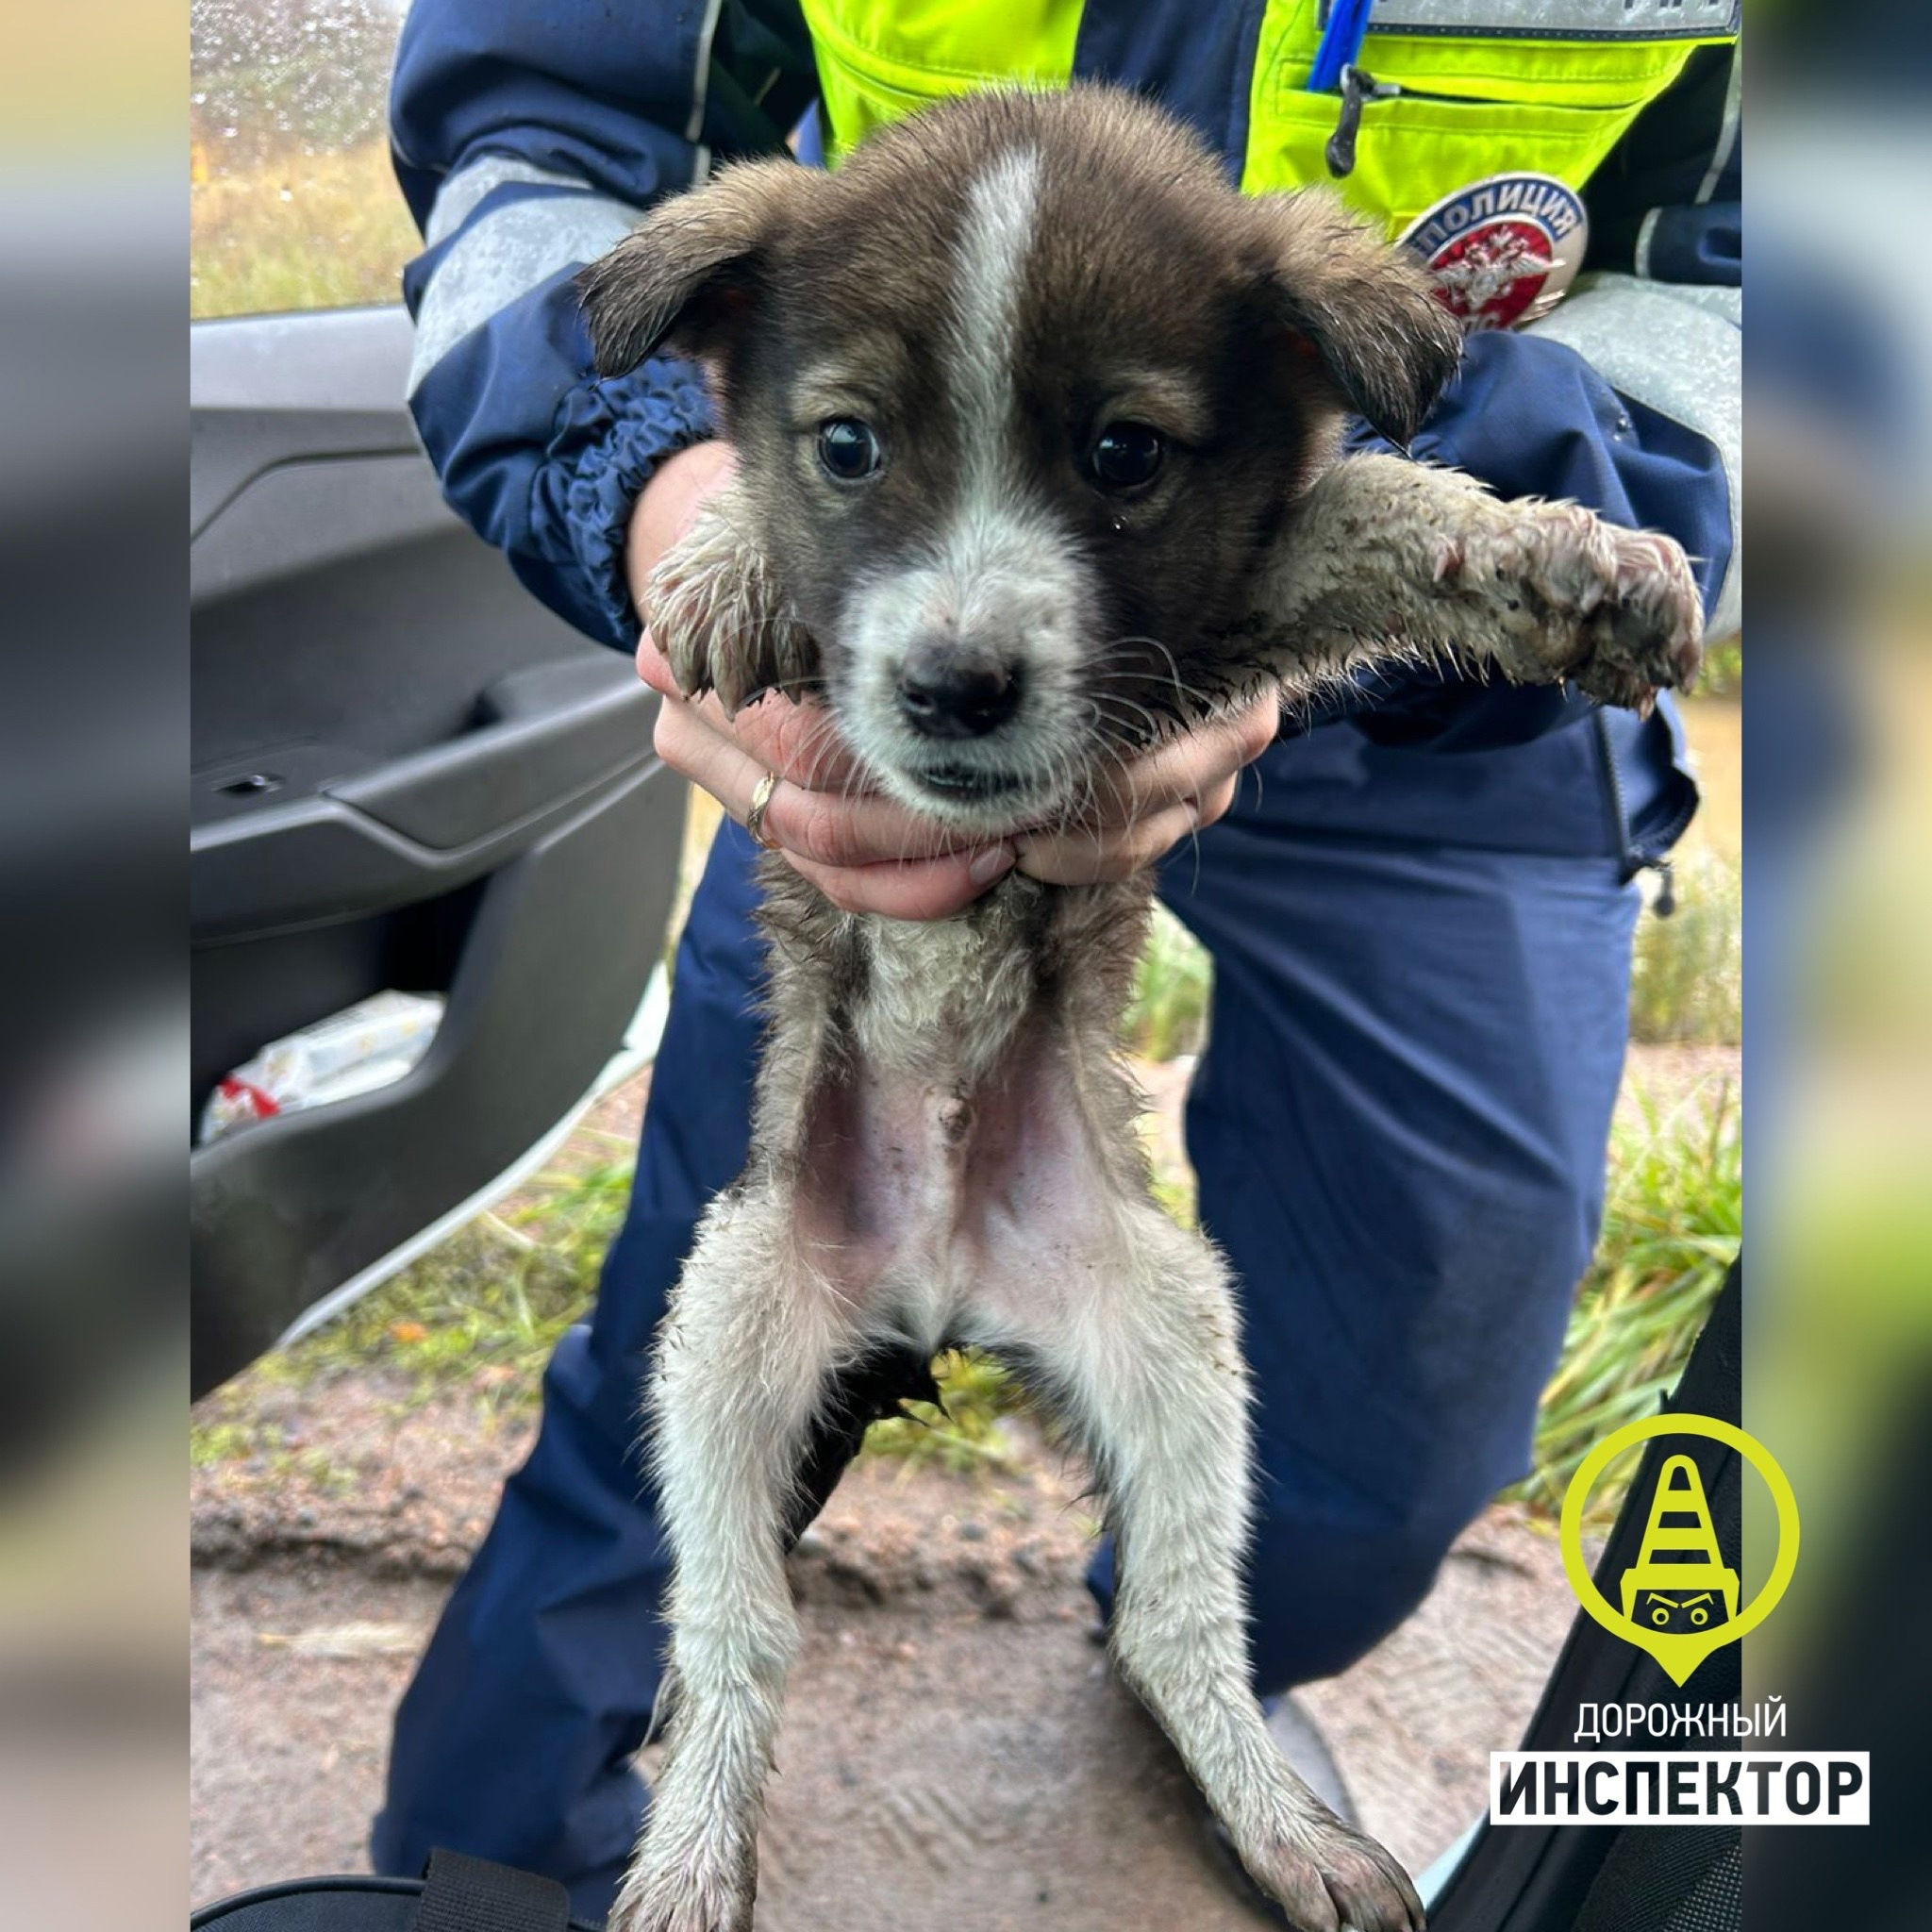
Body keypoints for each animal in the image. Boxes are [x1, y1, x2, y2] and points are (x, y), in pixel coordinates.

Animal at [579, 83, 1700, 1932]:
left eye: (1122, 457)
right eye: (844, 446)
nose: (953, 686)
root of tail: (943, 1287)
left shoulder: (1216, 618)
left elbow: (1374, 492)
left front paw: (1561, 552)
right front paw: (728, 564)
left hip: (1177, 1341)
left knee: (1177, 1627)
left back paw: (1279, 1825)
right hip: (723, 1332)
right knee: (737, 1634)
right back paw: (688, 1854)